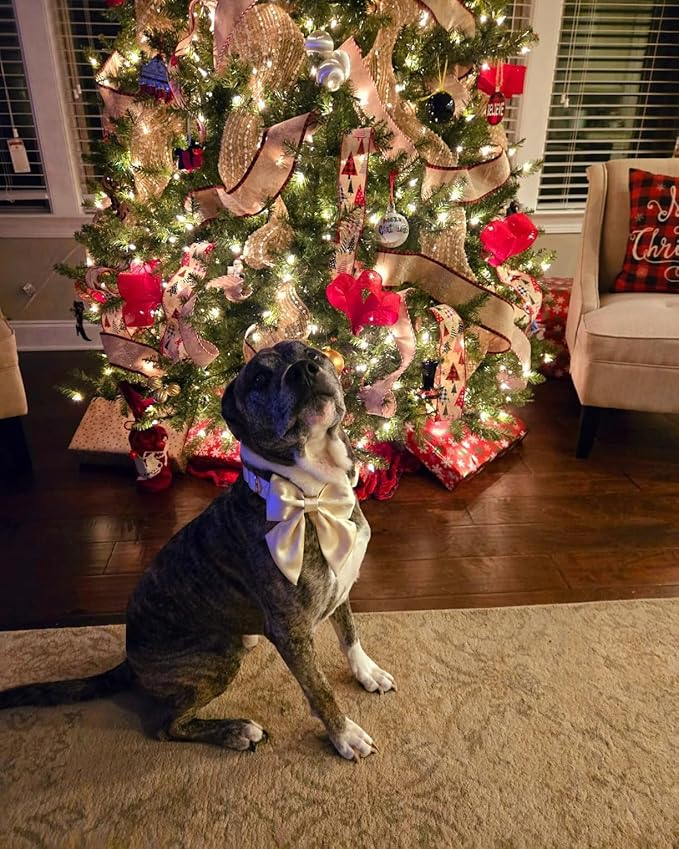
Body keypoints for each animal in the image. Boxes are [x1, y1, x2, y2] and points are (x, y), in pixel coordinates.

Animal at [0, 341, 395, 760]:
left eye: (312, 354)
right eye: (259, 378)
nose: (304, 370)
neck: (315, 494)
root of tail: (130, 658)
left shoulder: (341, 588)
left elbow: (350, 635)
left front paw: (367, 672)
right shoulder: (292, 634)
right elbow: (319, 689)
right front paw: (345, 734)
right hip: (217, 656)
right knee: (167, 726)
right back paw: (237, 731)